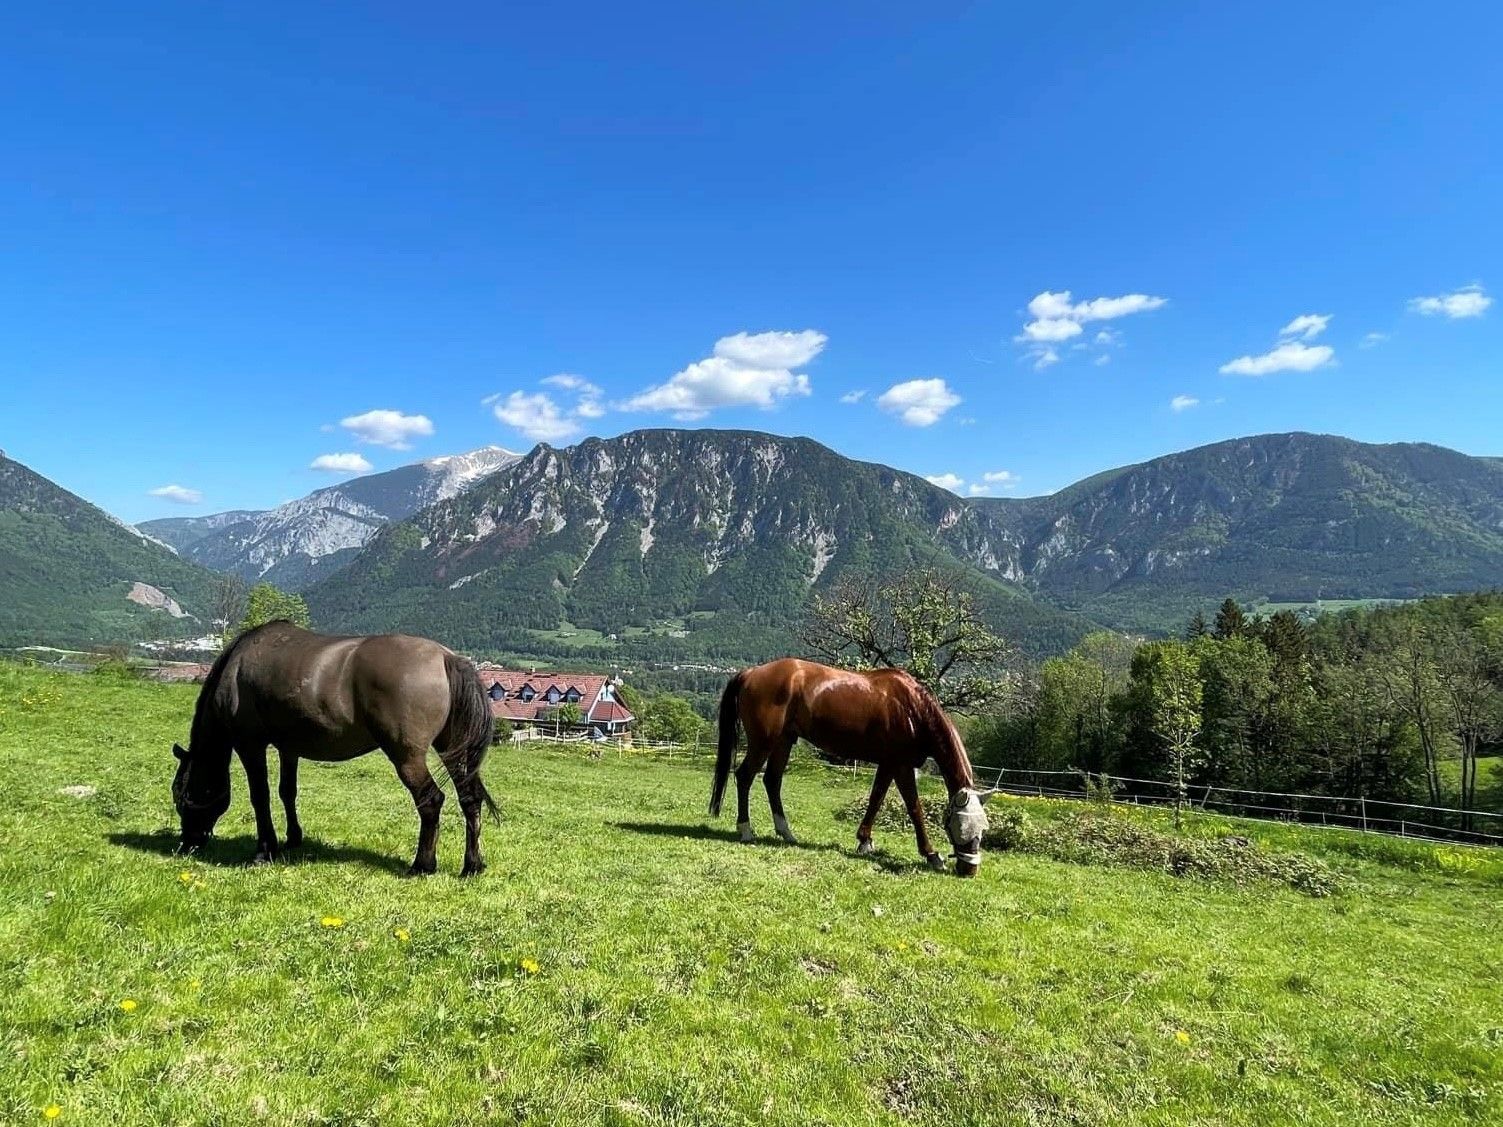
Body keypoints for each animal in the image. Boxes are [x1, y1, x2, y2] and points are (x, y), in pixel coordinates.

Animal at [170, 620, 499, 876]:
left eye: (181, 795)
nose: (187, 844)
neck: (237, 665)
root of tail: (446, 658)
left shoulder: (250, 745)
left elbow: (260, 797)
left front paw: (265, 850)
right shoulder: (289, 748)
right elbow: (287, 792)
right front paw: (293, 838)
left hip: (407, 756)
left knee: (431, 800)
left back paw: (422, 864)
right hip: (452, 750)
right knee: (470, 798)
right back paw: (472, 865)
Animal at [709, 658, 994, 876]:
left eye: (983, 829)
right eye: (959, 827)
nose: (969, 870)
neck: (912, 708)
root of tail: (751, 673)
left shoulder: (888, 764)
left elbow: (876, 799)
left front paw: (865, 841)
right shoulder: (901, 765)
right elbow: (914, 808)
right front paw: (931, 855)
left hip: (783, 741)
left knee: (772, 780)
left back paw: (786, 832)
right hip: (764, 742)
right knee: (744, 776)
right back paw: (746, 830)